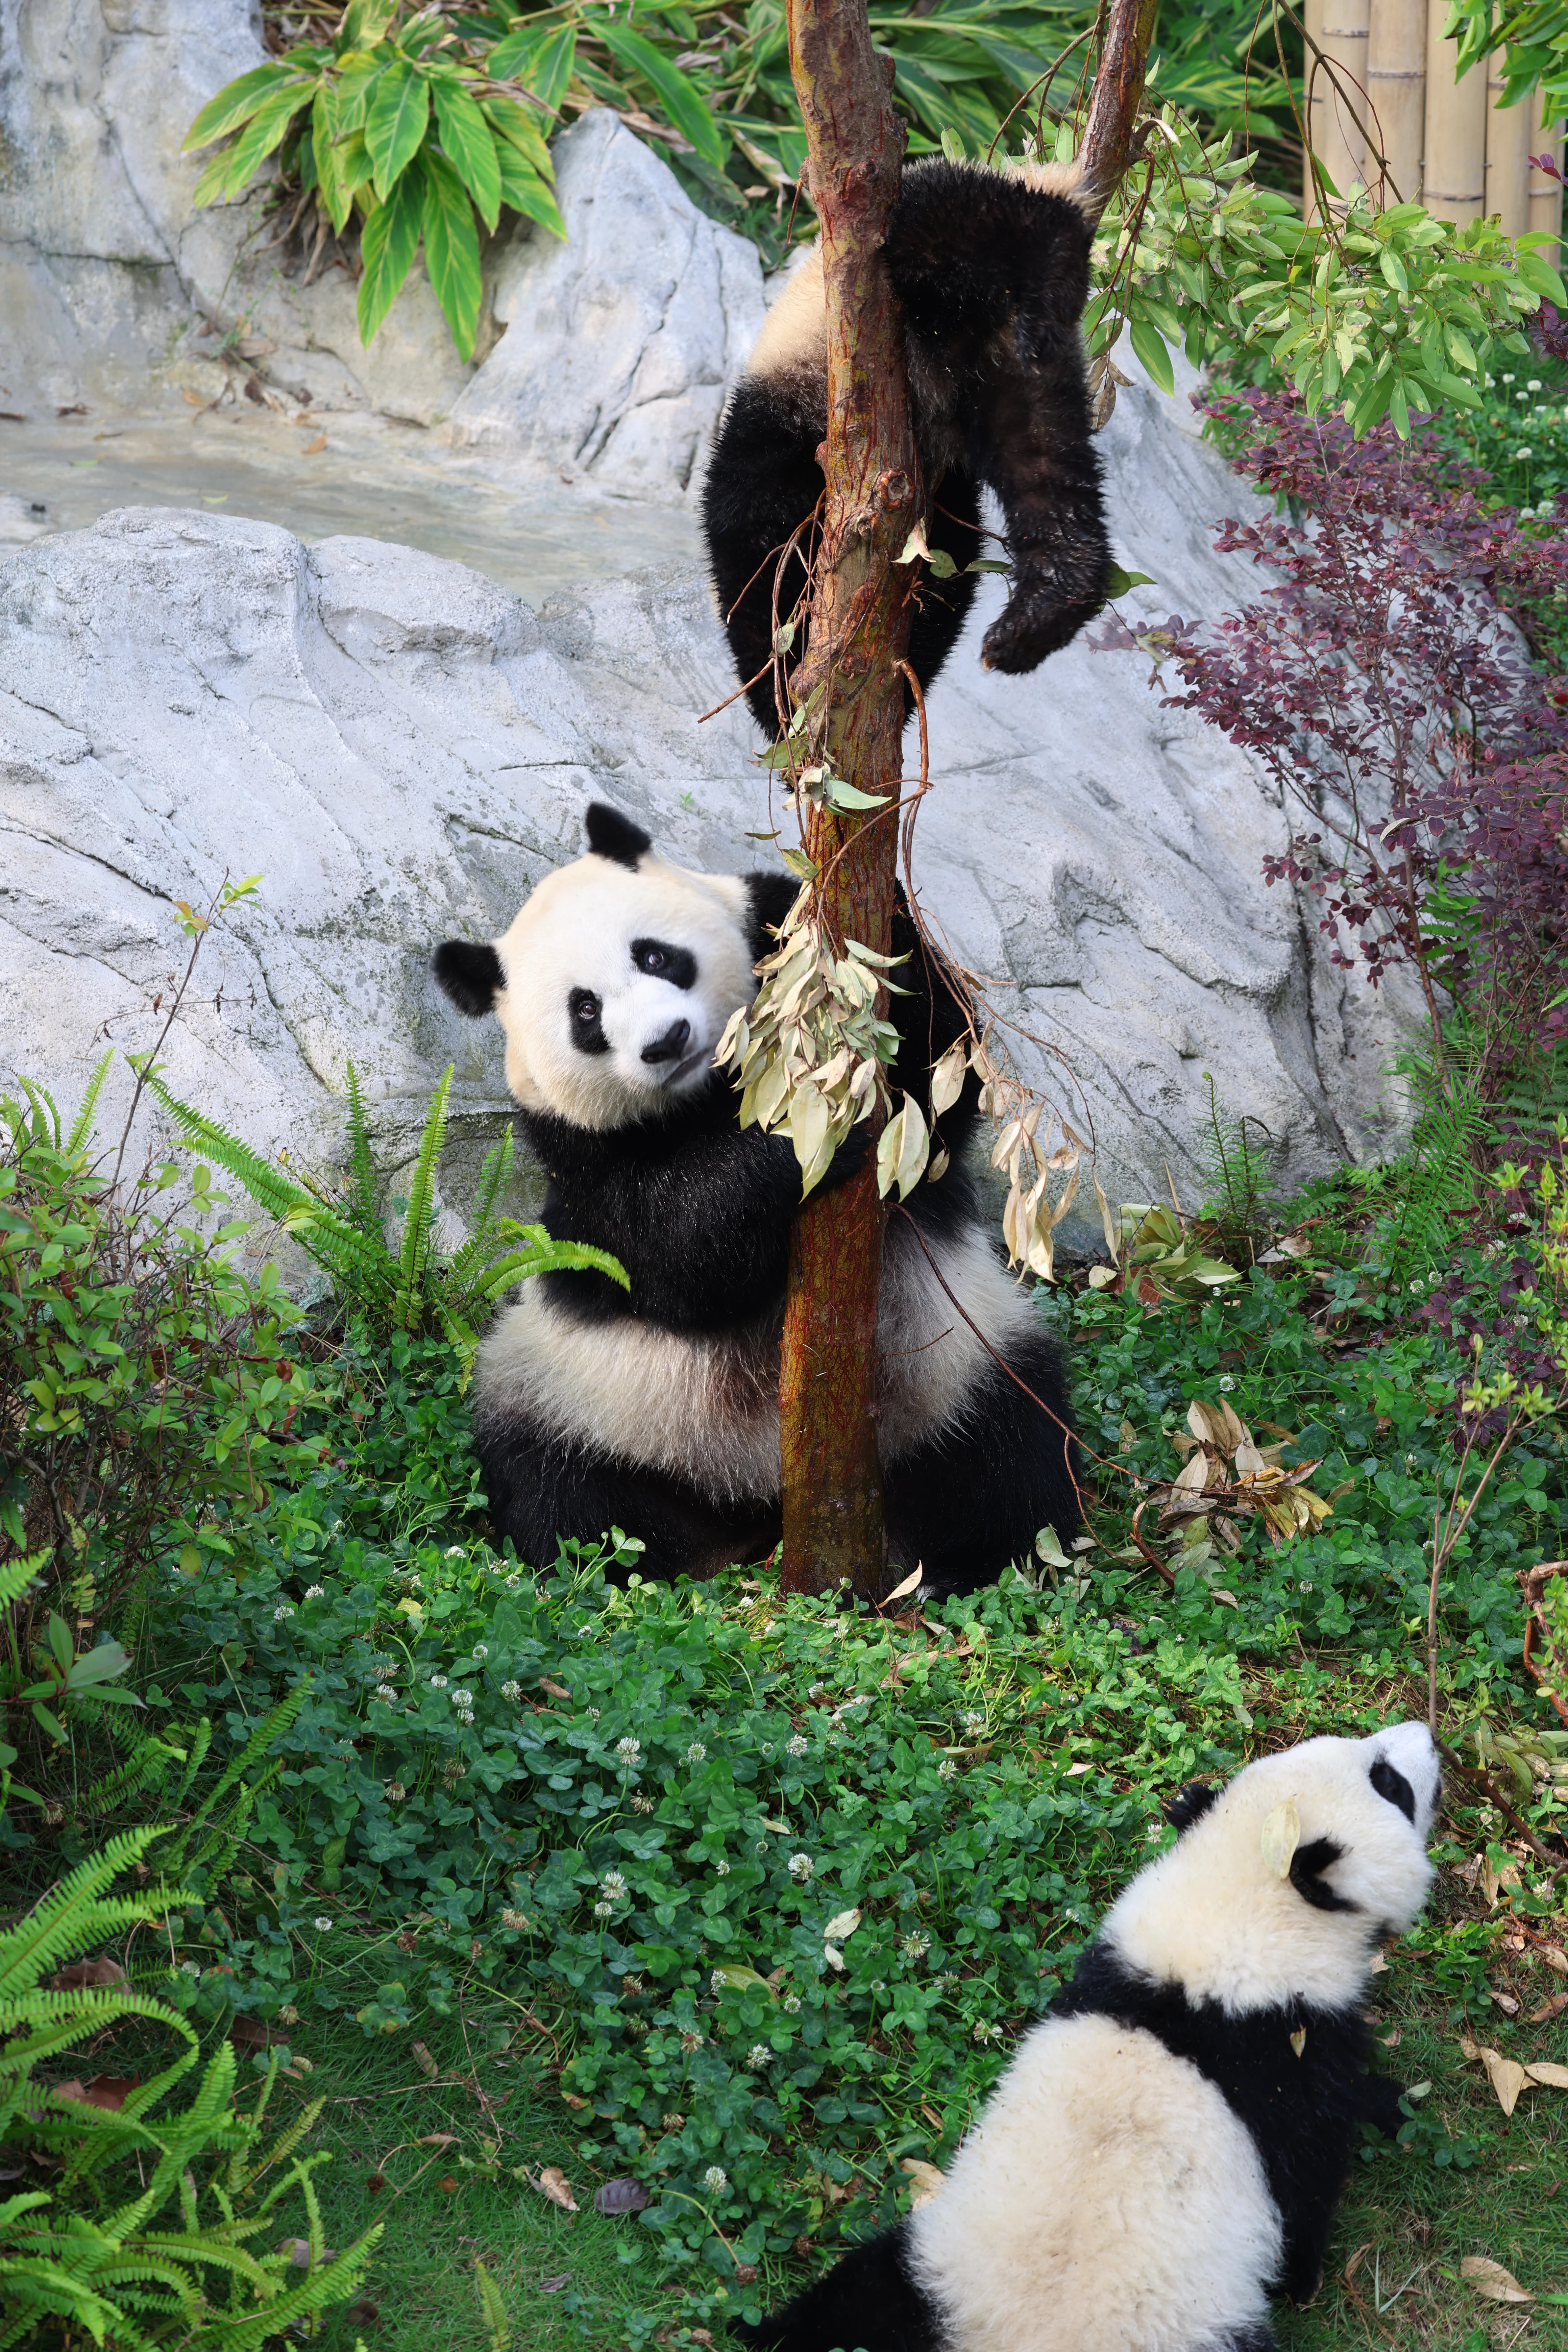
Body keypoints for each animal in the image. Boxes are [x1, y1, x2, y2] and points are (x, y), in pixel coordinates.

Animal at [432, 799, 1078, 1590]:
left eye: (654, 956)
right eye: (584, 1011)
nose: (665, 1040)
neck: (710, 1091)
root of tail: (762, 1507)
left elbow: (940, 1059)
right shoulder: (579, 1155)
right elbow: (681, 1258)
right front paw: (803, 1140)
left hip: (957, 1365)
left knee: (1011, 1453)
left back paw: (971, 1563)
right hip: (574, 1398)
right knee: (555, 1490)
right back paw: (654, 1562)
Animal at [702, 156, 1113, 735]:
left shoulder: (770, 467)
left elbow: (764, 567)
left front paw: (784, 698)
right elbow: (950, 575)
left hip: (917, 237)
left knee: (949, 221)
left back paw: (1049, 264)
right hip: (1007, 379)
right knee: (1046, 464)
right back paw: (1042, 612)